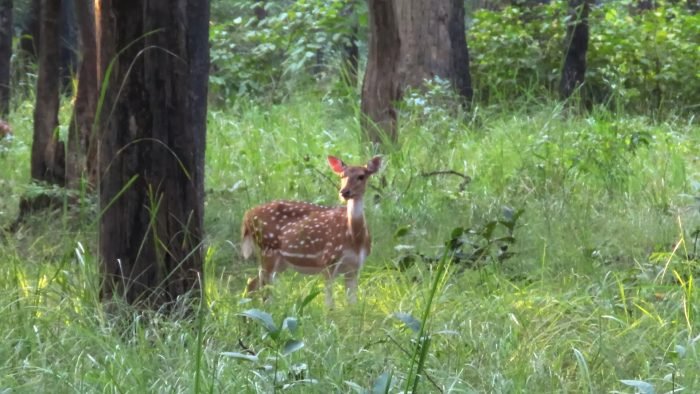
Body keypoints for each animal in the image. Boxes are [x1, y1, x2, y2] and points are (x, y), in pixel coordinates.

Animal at [242, 155, 382, 306]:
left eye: (361, 176)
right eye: (342, 175)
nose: (344, 192)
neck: (355, 239)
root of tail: (247, 215)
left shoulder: (354, 267)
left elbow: (352, 304)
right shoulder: (328, 261)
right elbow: (329, 304)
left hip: (280, 261)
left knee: (253, 283)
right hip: (267, 249)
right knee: (264, 287)